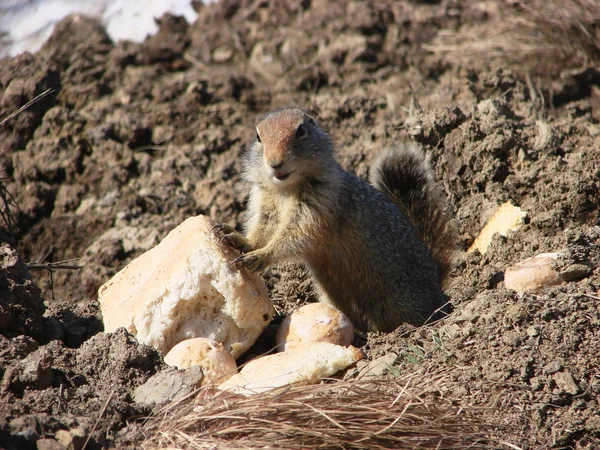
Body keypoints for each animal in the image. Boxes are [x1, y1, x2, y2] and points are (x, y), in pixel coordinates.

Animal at [219, 106, 454, 330]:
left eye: (301, 131)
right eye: (258, 136)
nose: (275, 163)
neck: (285, 190)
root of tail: (436, 281)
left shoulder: (316, 208)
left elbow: (294, 236)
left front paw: (260, 256)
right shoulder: (265, 205)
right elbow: (261, 229)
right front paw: (237, 238)